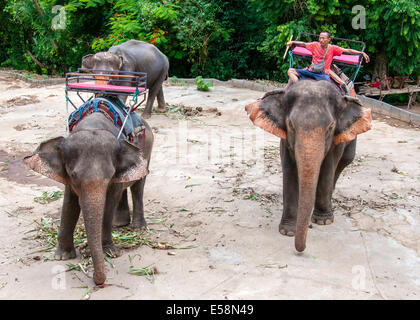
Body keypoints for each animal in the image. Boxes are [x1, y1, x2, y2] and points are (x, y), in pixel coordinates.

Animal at [244, 80, 372, 252]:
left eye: (330, 127)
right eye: (291, 125)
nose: (301, 249)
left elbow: (327, 169)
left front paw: (323, 221)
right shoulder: (286, 139)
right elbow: (290, 171)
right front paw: (287, 231)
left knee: (345, 161)